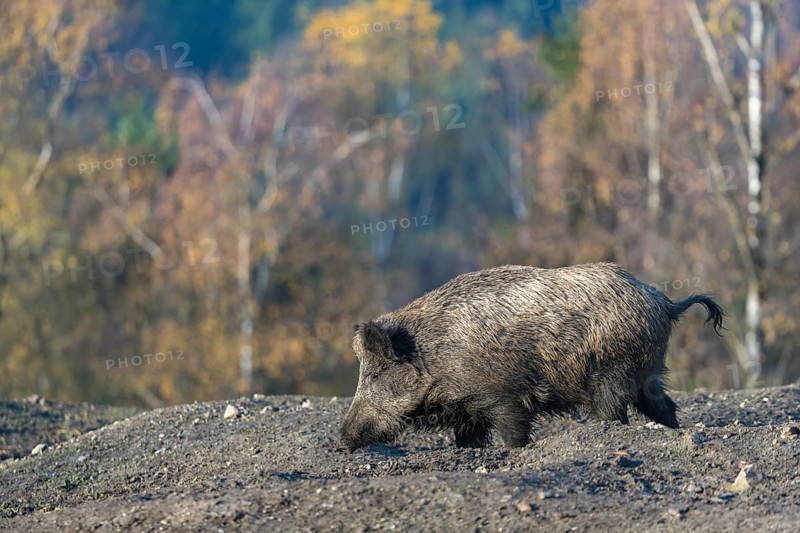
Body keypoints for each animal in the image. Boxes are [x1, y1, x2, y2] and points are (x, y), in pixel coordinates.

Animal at [340, 262, 724, 450]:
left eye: (376, 374)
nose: (343, 438)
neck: (435, 355)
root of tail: (664, 302)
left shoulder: (502, 398)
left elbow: (514, 433)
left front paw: (516, 452)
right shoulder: (467, 409)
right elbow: (468, 439)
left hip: (612, 373)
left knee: (615, 412)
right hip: (649, 373)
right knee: (664, 407)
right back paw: (676, 431)